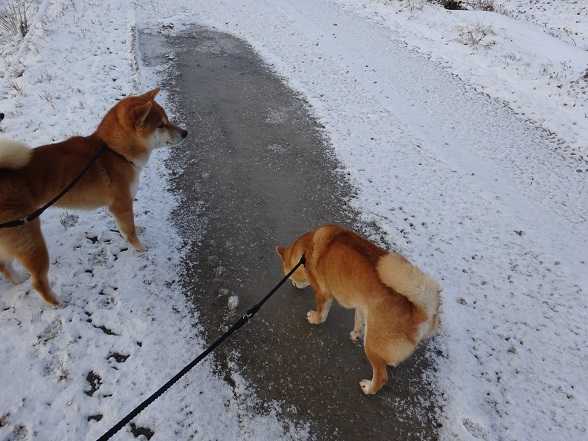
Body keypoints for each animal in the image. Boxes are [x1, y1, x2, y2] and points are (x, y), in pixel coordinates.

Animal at [0, 88, 187, 306]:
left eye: (167, 120)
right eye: (161, 125)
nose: (185, 132)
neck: (115, 151)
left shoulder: (118, 207)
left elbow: (126, 227)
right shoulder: (121, 204)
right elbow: (130, 230)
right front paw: (140, 247)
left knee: (4, 265)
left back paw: (18, 279)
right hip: (30, 240)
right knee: (37, 281)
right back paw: (58, 303)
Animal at [276, 224, 441, 395]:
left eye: (290, 277)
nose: (292, 284)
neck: (306, 250)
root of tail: (421, 312)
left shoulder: (323, 292)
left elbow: (322, 311)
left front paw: (315, 318)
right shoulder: (362, 305)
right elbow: (358, 321)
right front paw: (355, 334)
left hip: (371, 345)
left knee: (381, 376)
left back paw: (369, 388)